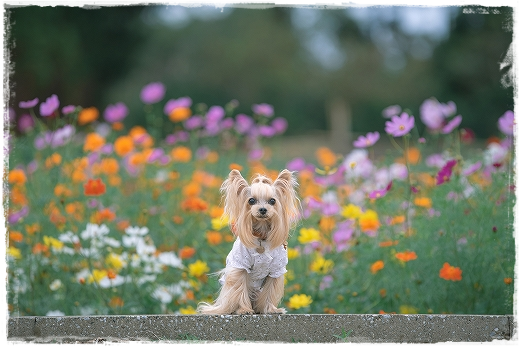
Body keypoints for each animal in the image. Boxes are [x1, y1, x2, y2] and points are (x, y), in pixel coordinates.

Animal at [196, 169, 300, 316]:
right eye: (251, 200)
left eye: (272, 201)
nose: (263, 209)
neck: (261, 237)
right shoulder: (240, 266)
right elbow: (240, 287)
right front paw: (244, 310)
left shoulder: (276, 270)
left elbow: (270, 291)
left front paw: (272, 309)